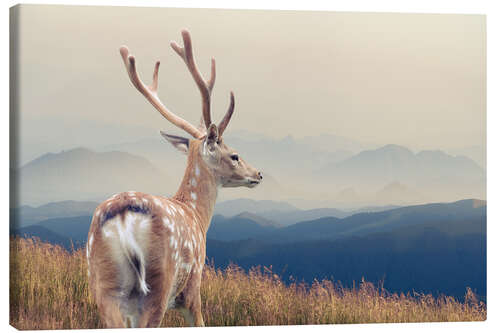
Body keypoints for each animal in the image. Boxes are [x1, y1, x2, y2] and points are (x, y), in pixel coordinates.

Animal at [86, 29, 264, 326]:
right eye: (235, 155)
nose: (258, 174)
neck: (196, 215)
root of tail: (123, 218)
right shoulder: (193, 288)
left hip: (103, 285)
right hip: (158, 284)